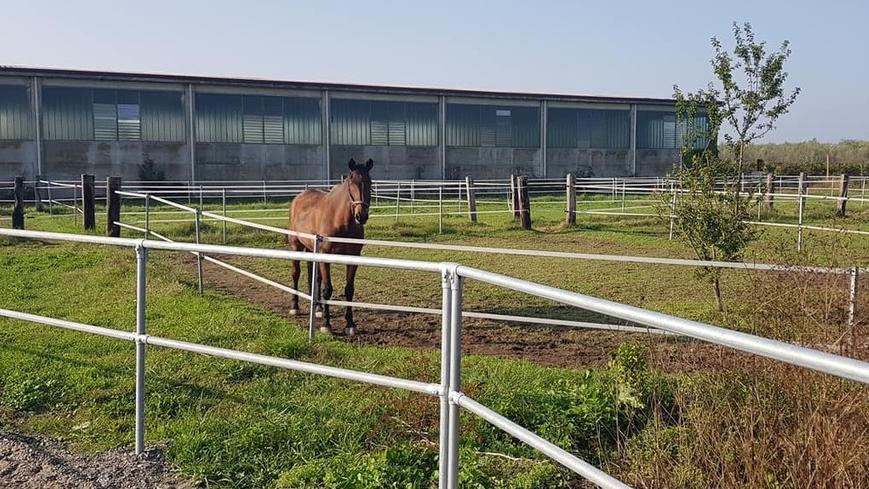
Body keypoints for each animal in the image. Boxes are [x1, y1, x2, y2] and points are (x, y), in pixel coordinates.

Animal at [288, 158, 373, 336]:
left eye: (370, 182)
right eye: (351, 182)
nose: (361, 216)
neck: (340, 220)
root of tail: (299, 197)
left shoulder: (353, 257)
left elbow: (349, 289)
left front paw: (350, 324)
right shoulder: (325, 255)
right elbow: (328, 289)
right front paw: (327, 325)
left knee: (314, 278)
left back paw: (318, 308)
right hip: (295, 246)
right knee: (296, 274)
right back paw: (295, 306)